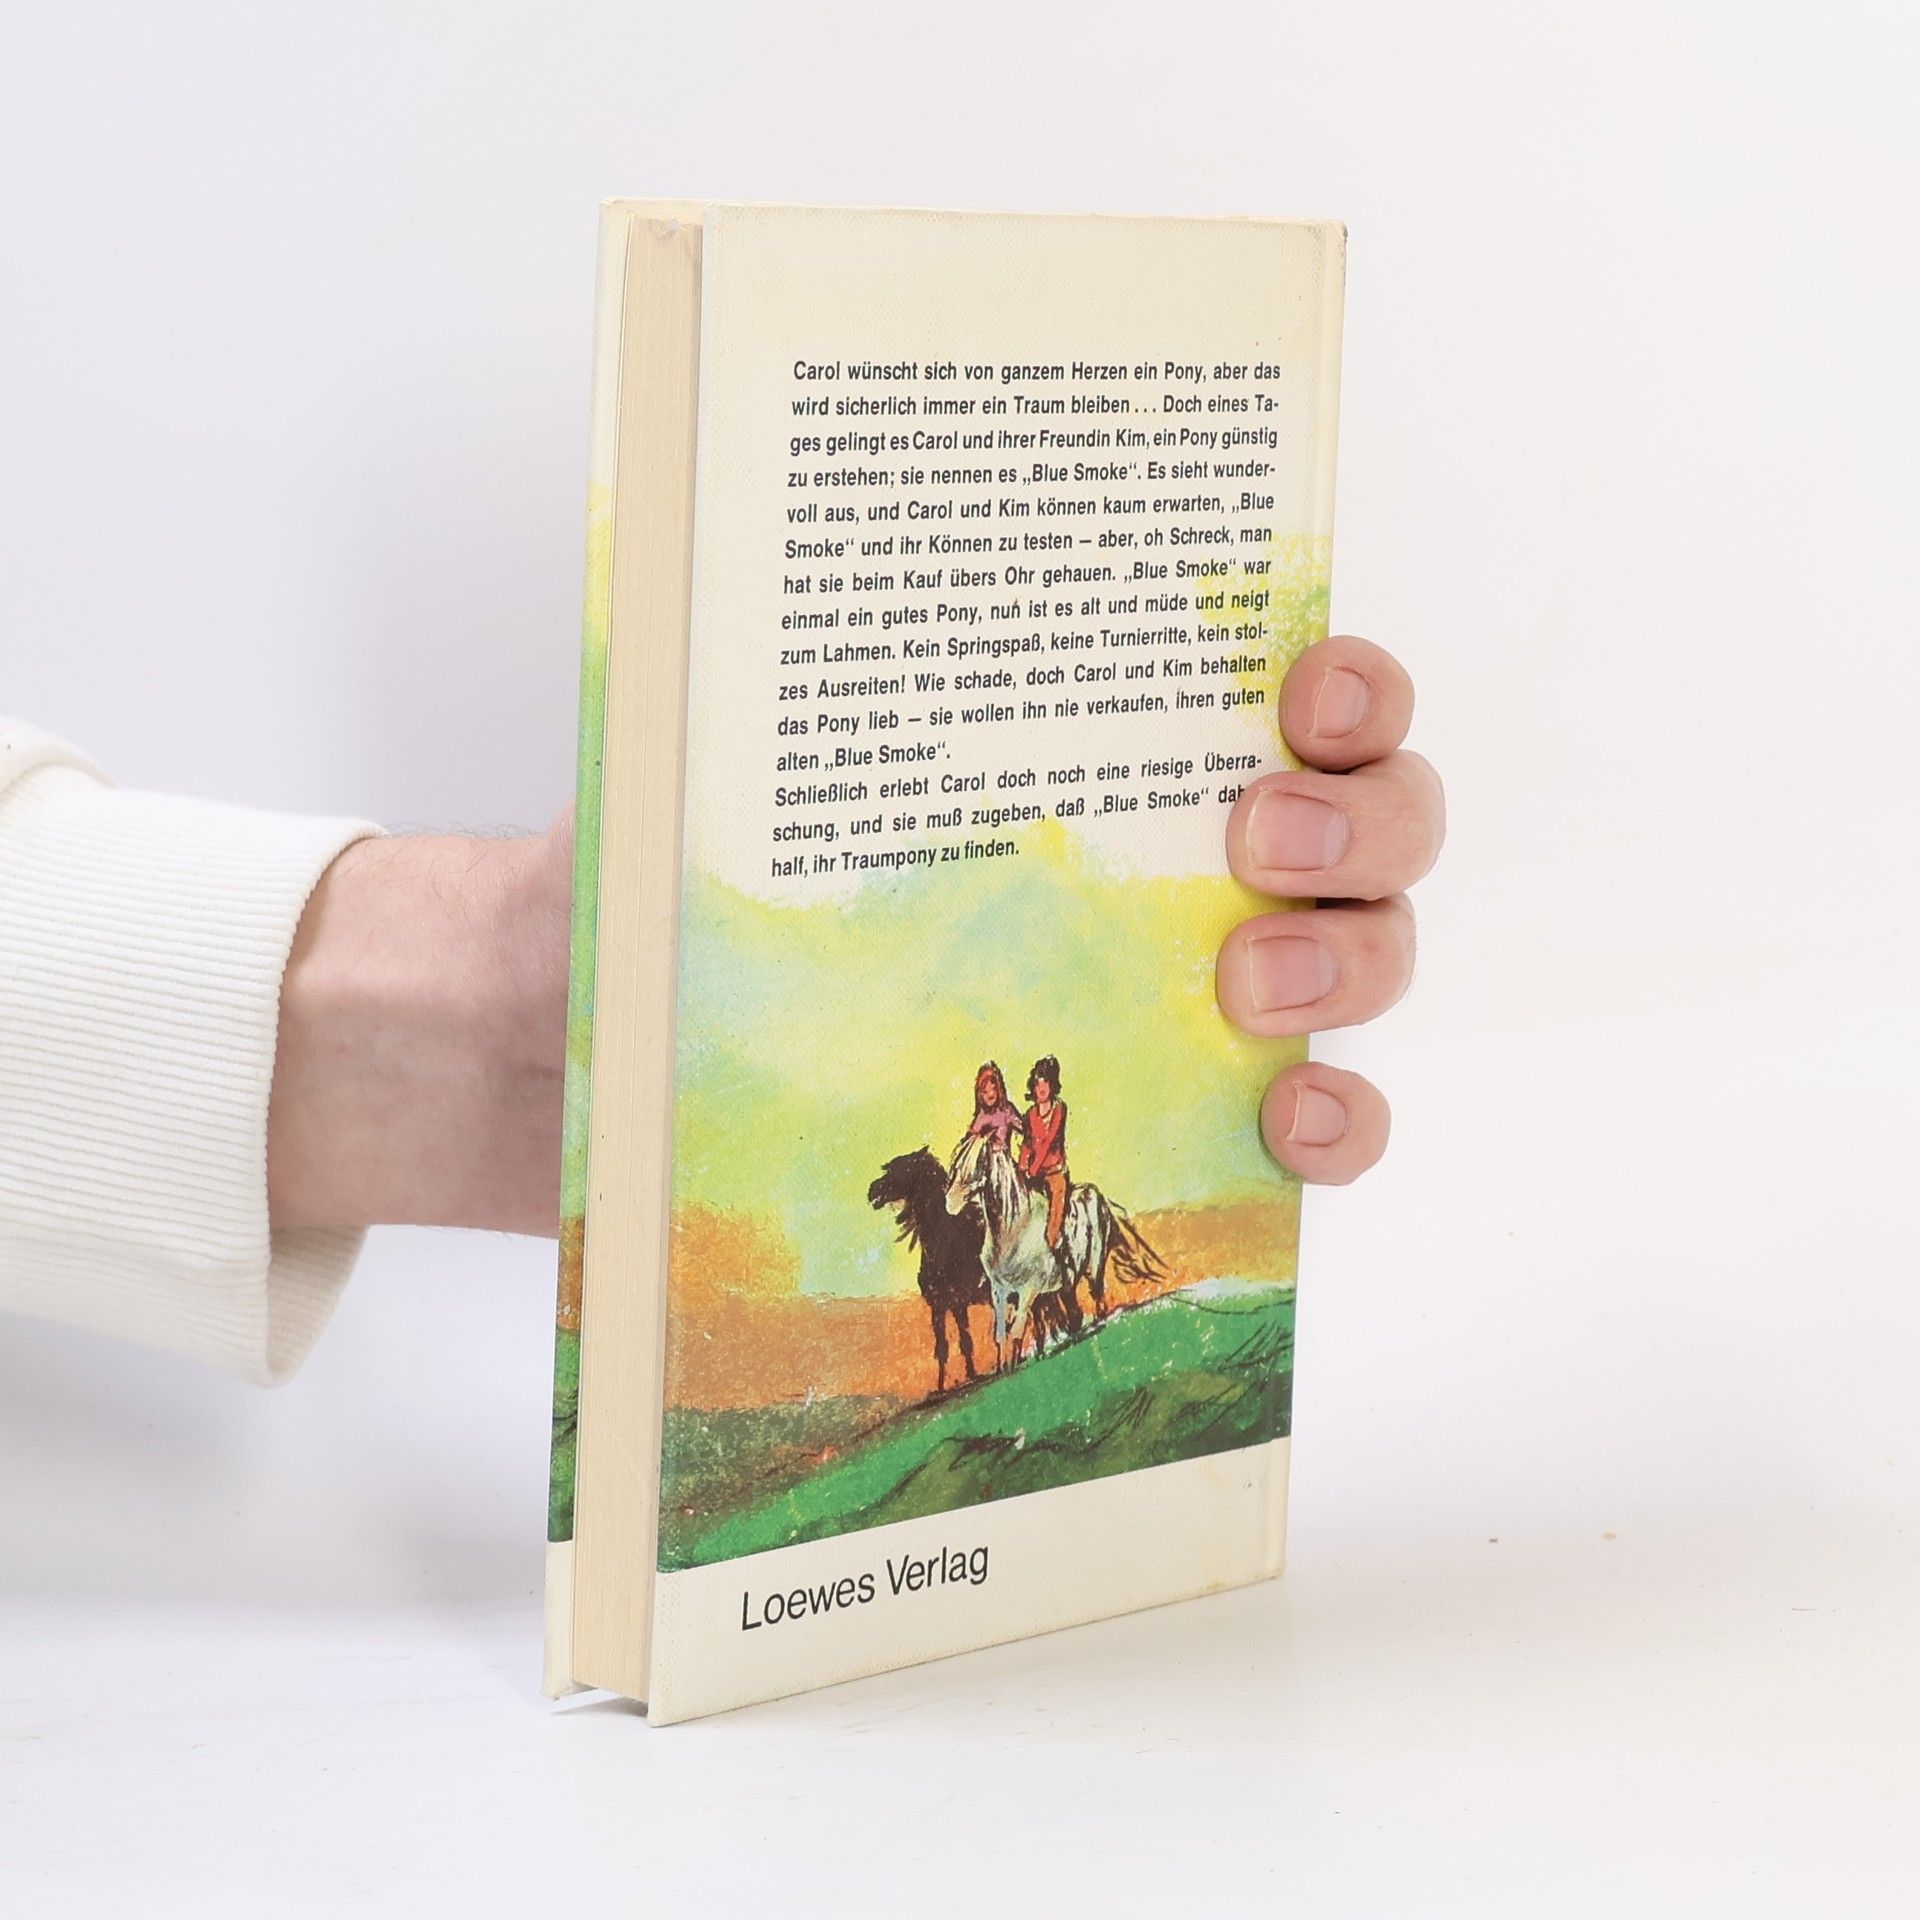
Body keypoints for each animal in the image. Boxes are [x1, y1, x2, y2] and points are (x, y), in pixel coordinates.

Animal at [868, 1147, 990, 1394]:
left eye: (901, 1168)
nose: (872, 1189)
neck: (945, 1240)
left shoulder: (957, 1302)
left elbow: (965, 1341)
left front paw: (972, 1376)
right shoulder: (939, 1306)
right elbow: (943, 1347)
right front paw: (941, 1387)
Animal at [943, 1133, 1165, 1366]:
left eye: (979, 1162)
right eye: (956, 1161)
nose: (950, 1201)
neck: (1013, 1230)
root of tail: (1097, 1194)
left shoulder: (1028, 1290)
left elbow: (1017, 1331)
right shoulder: (999, 1291)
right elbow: (1002, 1335)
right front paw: (1005, 1366)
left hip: (1095, 1267)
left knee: (1097, 1300)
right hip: (1068, 1285)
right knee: (1075, 1314)